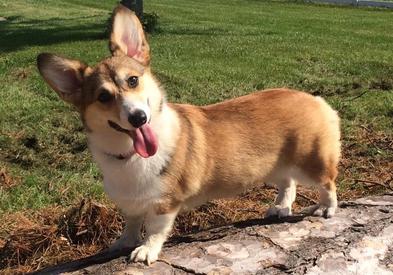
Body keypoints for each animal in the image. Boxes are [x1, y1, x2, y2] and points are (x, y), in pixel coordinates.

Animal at [36, 4, 340, 266]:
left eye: (133, 80)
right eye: (102, 97)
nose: (138, 117)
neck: (128, 155)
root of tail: (315, 99)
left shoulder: (165, 202)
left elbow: (155, 229)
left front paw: (145, 250)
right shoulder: (131, 203)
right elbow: (132, 223)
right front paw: (123, 242)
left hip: (311, 161)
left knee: (327, 183)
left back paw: (326, 209)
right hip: (275, 166)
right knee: (288, 183)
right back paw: (281, 207)